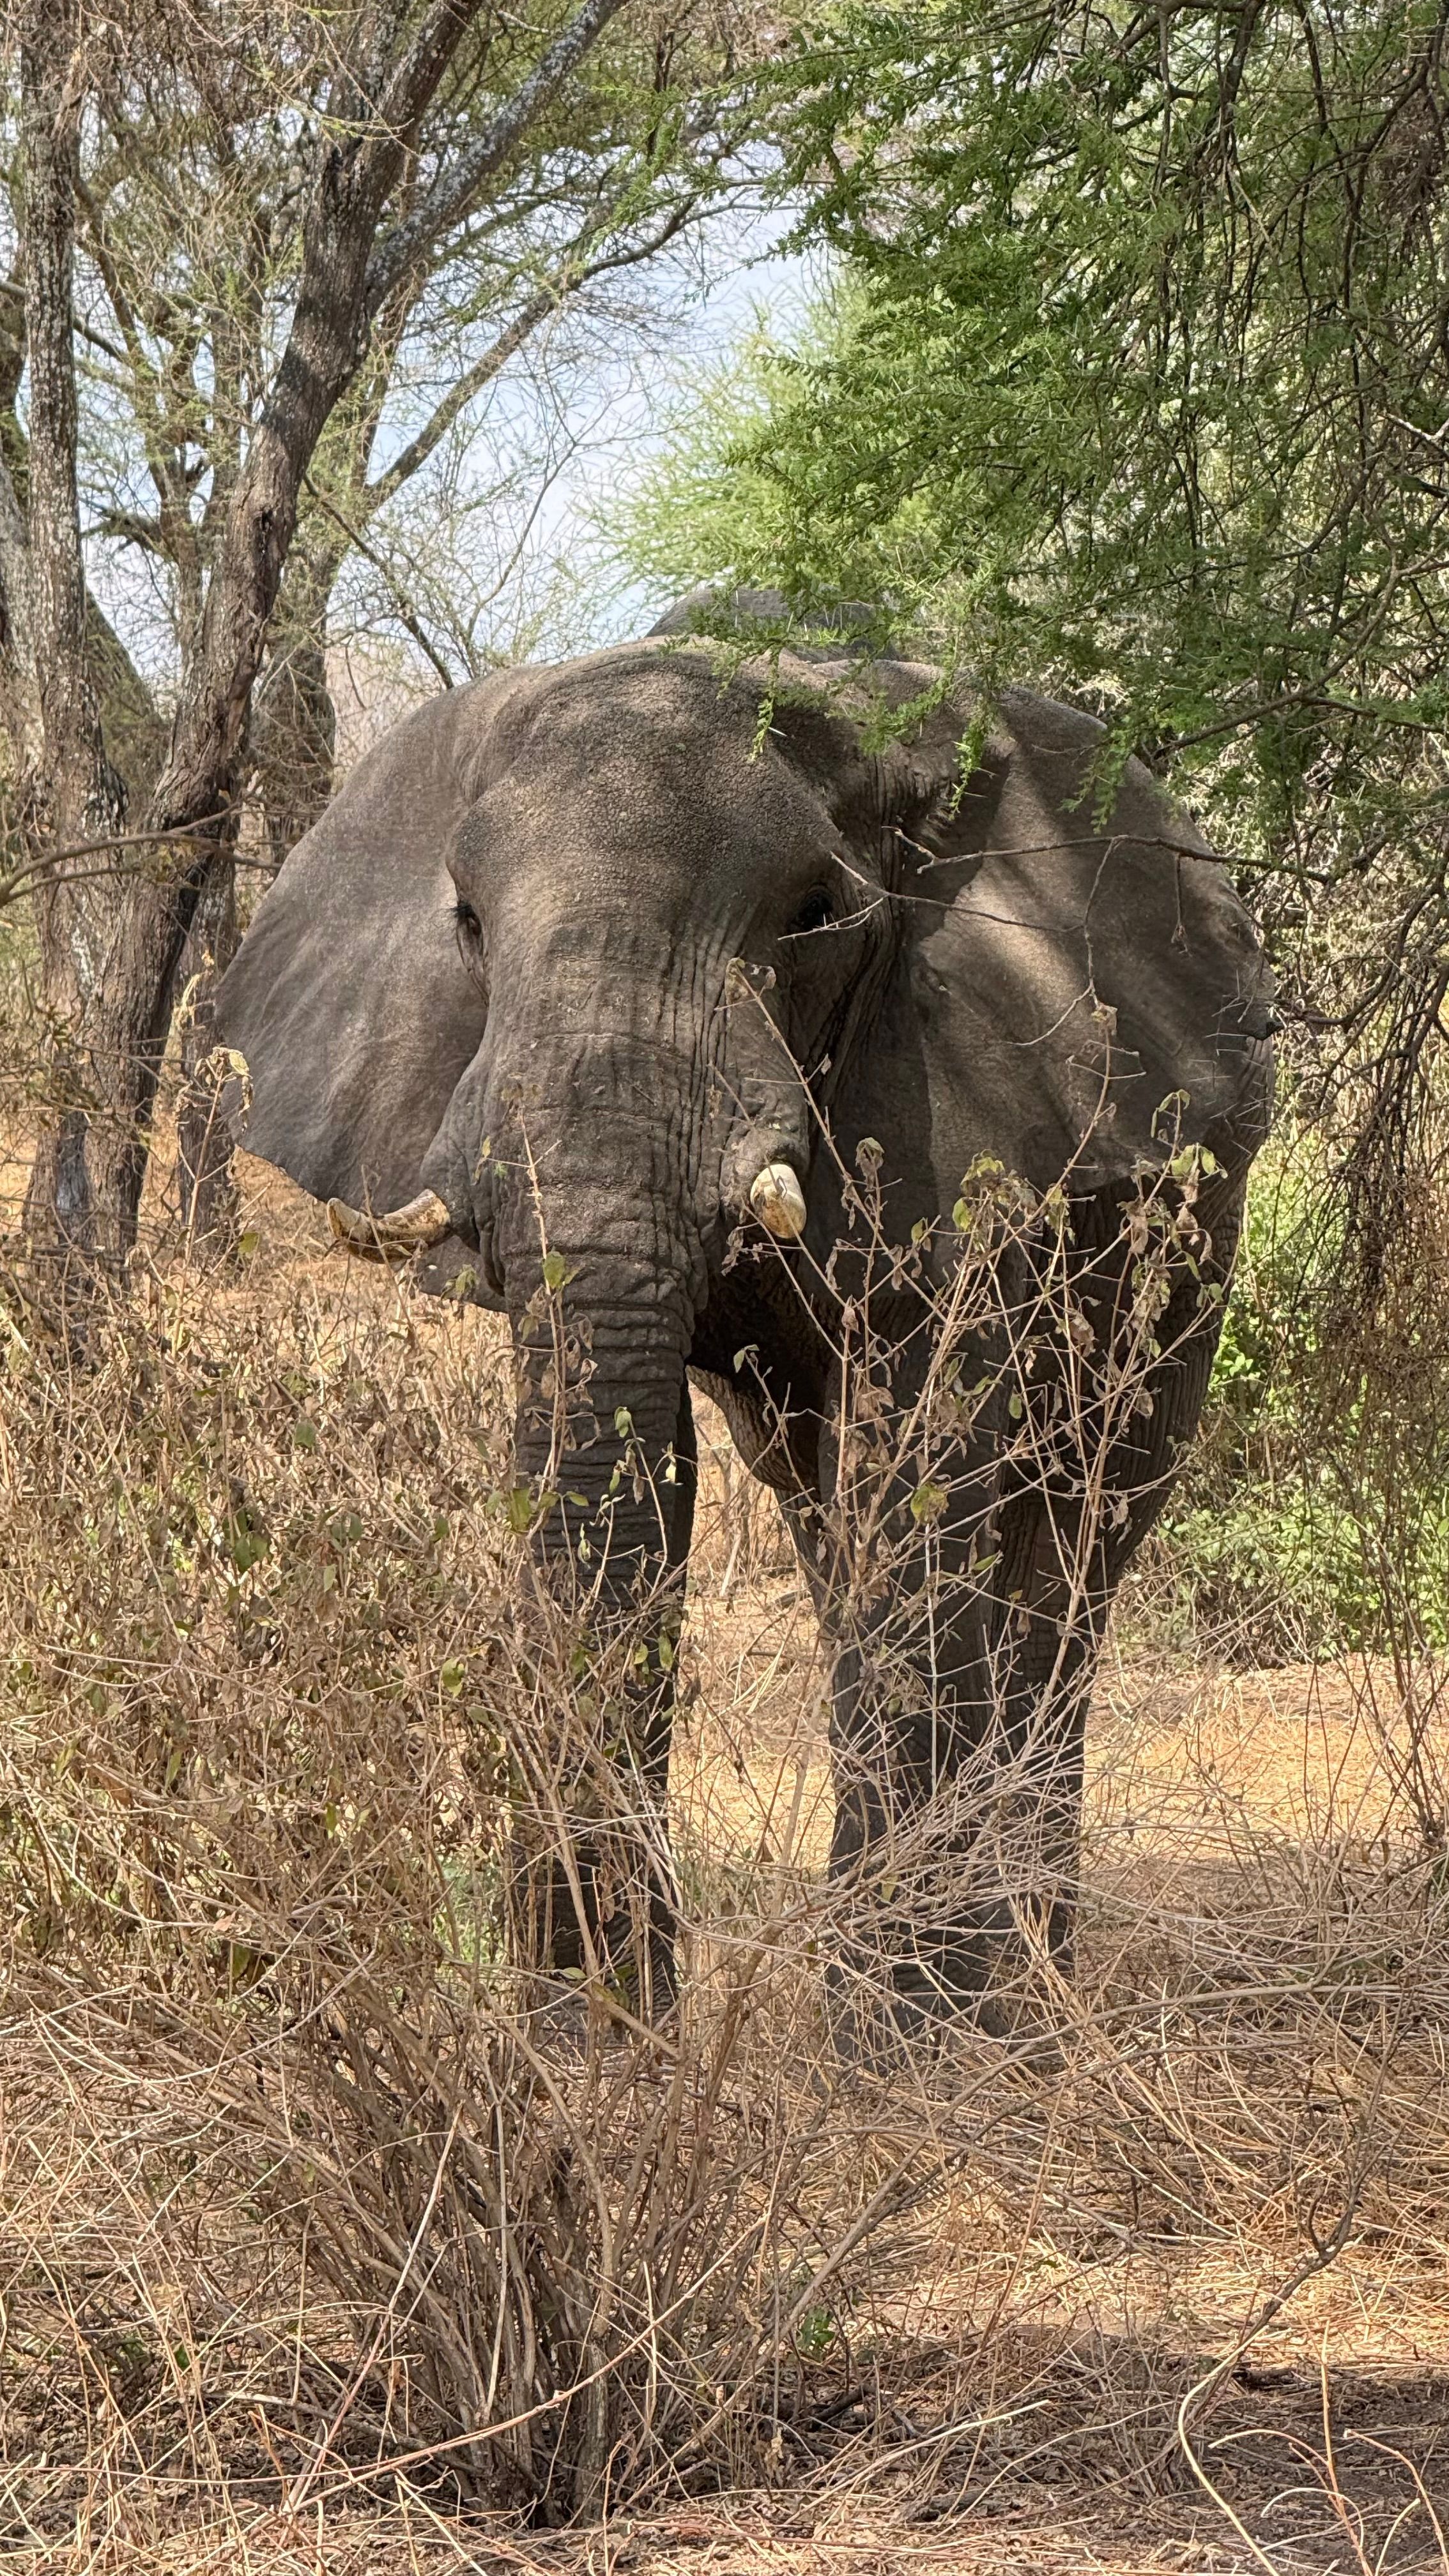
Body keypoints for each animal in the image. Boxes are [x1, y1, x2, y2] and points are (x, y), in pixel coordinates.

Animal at [216, 598, 1274, 2043]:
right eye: (470, 924)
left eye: (815, 915)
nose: (578, 2037)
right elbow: (634, 1474)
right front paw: (598, 2061)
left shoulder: (970, 1119)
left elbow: (922, 1472)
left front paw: (896, 2061)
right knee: (837, 1532)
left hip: (1194, 1230)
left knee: (1078, 1540)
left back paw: (1027, 2018)